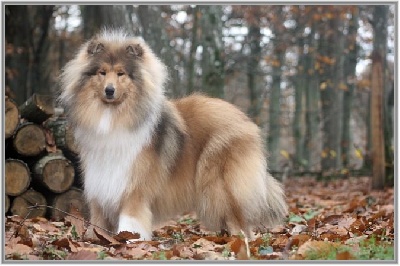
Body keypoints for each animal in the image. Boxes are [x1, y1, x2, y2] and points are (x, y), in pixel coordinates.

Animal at [58, 29, 288, 241]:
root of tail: (245, 119)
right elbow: (97, 218)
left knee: (238, 221)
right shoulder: (100, 180)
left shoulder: (134, 185)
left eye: (121, 73)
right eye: (102, 72)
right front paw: (95, 239)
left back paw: (238, 243)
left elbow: (130, 219)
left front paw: (129, 240)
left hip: (219, 186)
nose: (109, 90)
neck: (113, 115)